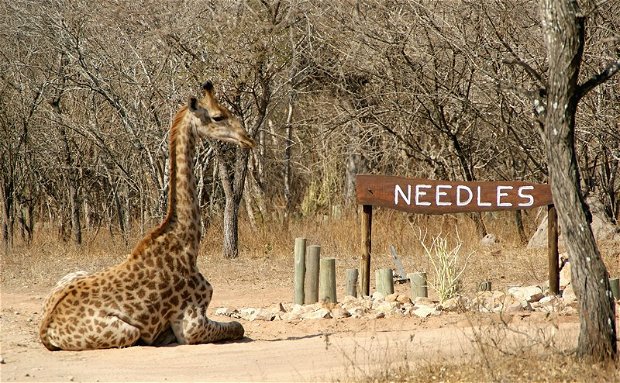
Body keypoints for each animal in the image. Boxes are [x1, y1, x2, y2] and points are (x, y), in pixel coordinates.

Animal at [39, 81, 254, 352]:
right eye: (218, 116)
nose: (248, 139)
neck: (187, 244)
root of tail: (45, 331)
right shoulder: (191, 325)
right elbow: (239, 327)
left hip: (74, 272)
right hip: (126, 332)